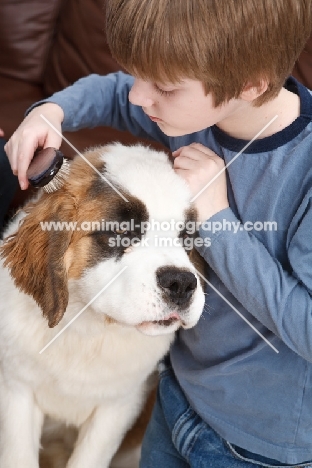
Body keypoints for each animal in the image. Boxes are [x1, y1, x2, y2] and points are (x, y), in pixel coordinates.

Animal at [0, 144, 206, 468]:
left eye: (186, 238)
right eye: (121, 233)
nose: (181, 284)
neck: (86, 328)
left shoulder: (119, 406)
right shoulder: (15, 389)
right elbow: (18, 456)